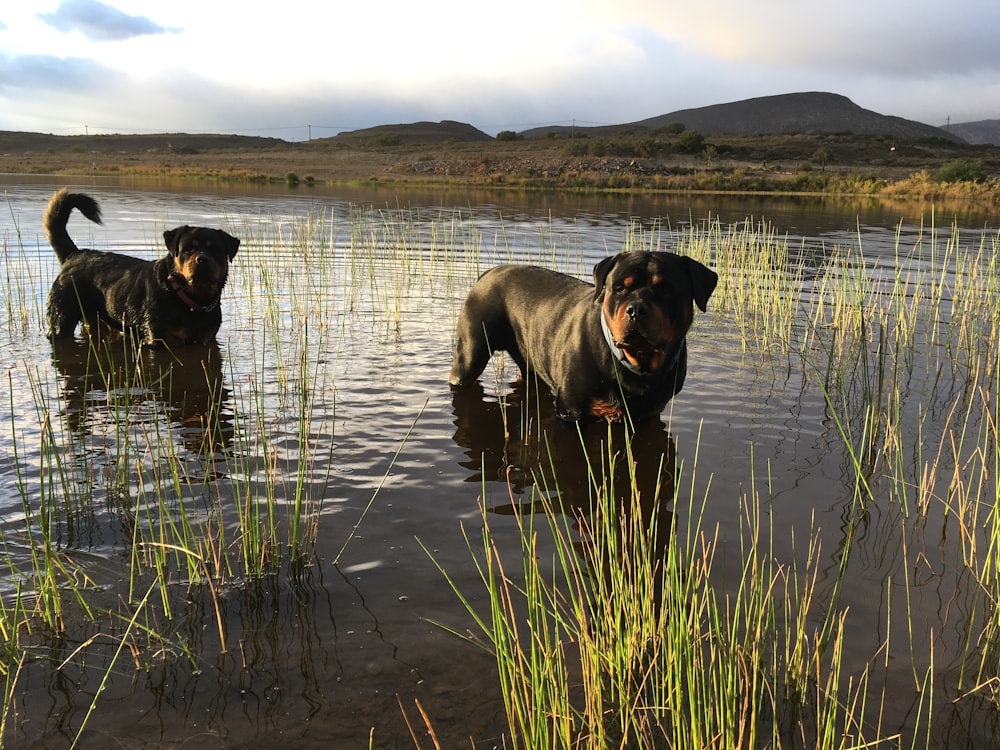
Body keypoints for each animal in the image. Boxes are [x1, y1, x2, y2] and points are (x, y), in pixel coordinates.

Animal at [45, 191, 240, 350]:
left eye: (215, 250)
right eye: (188, 249)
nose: (202, 259)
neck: (191, 299)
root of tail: (74, 254)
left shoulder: (205, 339)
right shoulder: (157, 341)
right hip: (61, 316)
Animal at [450, 253, 716, 424]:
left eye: (667, 289)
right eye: (619, 288)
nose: (636, 309)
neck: (636, 364)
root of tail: (488, 273)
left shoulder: (649, 414)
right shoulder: (572, 410)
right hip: (470, 355)